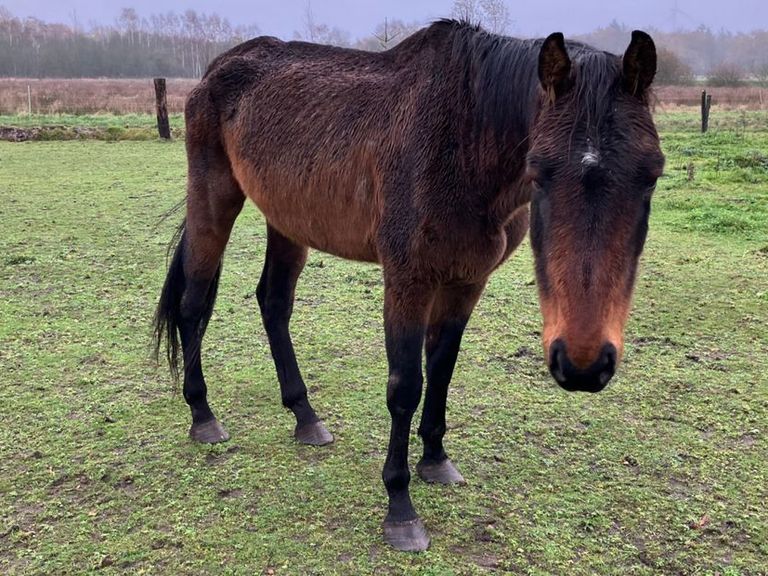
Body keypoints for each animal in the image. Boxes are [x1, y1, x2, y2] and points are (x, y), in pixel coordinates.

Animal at [153, 20, 664, 551]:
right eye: (539, 172)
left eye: (651, 175)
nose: (583, 364)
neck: (464, 139)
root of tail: (218, 68)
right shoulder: (408, 281)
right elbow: (406, 386)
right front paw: (400, 507)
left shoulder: (465, 283)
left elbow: (441, 370)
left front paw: (435, 460)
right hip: (214, 197)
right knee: (192, 303)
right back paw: (203, 415)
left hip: (288, 221)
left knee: (273, 304)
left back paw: (305, 416)